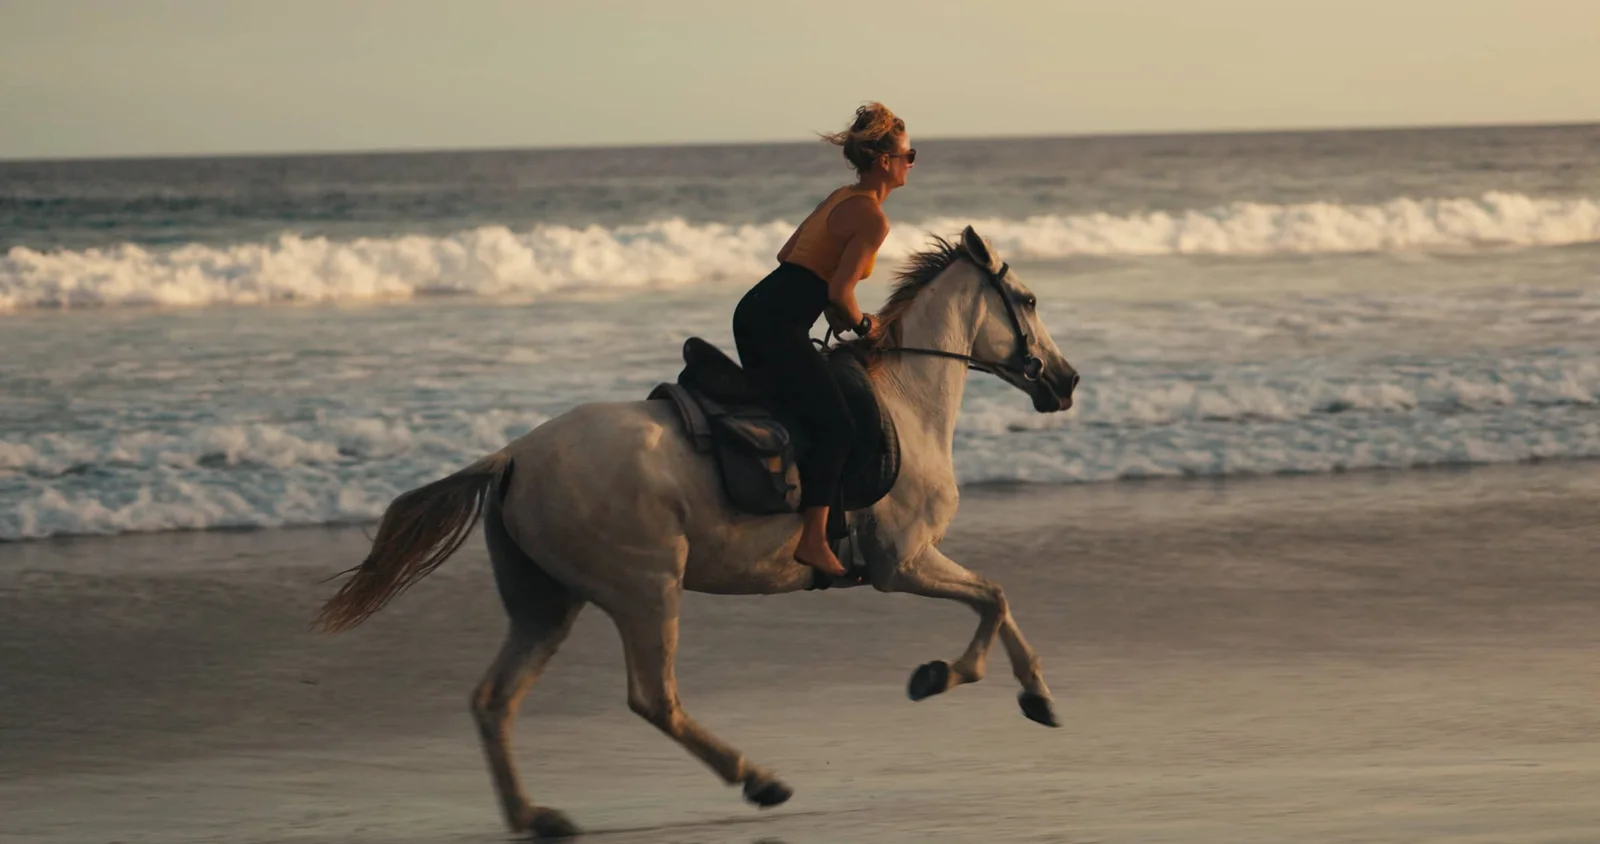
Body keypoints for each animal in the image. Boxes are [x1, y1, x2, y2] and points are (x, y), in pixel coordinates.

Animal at [314, 225, 1081, 838]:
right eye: (1030, 302)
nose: (1067, 380)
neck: (908, 401)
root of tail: (512, 458)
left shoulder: (915, 559)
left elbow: (996, 599)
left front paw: (1033, 695)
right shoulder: (902, 563)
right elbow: (992, 598)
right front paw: (948, 677)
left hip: (546, 605)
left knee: (493, 700)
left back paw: (536, 816)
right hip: (647, 590)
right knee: (654, 698)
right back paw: (758, 779)